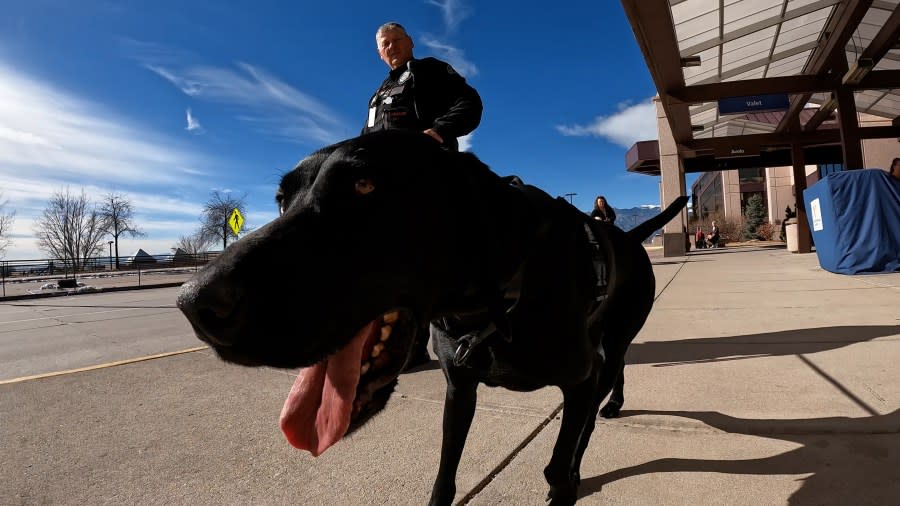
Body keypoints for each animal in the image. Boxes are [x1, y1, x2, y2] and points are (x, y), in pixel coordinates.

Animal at [178, 129, 688, 502]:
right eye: (283, 200)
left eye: (365, 185)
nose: (194, 304)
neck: (494, 302)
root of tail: (630, 239)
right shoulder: (459, 389)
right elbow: (445, 476)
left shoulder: (577, 383)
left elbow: (559, 466)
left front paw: (566, 481)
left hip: (614, 340)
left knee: (606, 381)